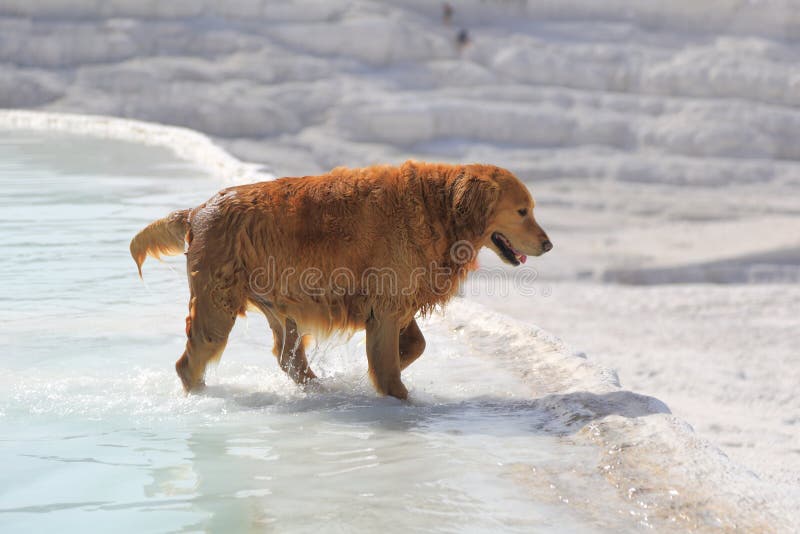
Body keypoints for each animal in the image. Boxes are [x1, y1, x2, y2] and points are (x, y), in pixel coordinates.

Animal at [133, 161, 556, 400]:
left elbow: (412, 347)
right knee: (188, 363)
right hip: (216, 307)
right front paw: (397, 395)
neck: (435, 207)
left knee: (288, 360)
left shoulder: (395, 303)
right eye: (522, 211)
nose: (549, 244)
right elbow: (389, 367)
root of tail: (197, 210)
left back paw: (321, 388)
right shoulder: (386, 307)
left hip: (279, 307)